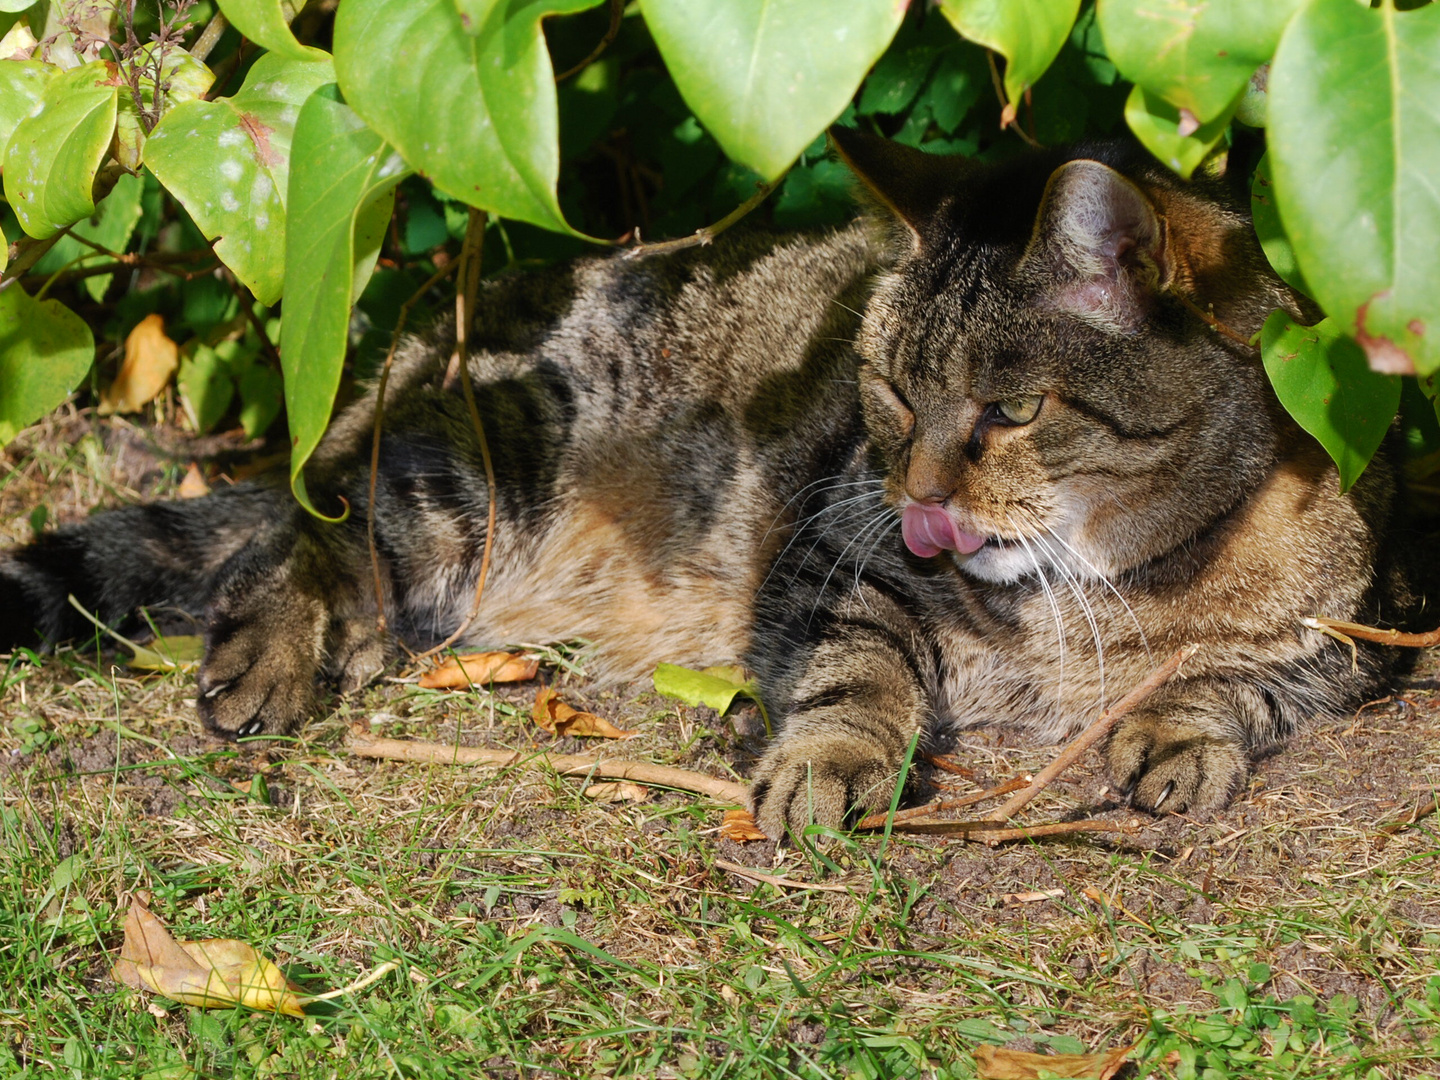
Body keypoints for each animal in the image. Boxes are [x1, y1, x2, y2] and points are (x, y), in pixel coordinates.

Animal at [0, 133, 1405, 835]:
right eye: (889, 390)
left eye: (1010, 412)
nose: (917, 495)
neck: (1131, 575)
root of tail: (419, 343)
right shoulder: (833, 551)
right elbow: (858, 673)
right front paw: (825, 756)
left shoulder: (1357, 637)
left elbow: (1239, 683)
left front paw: (1180, 731)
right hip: (467, 465)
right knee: (304, 524)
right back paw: (272, 654)